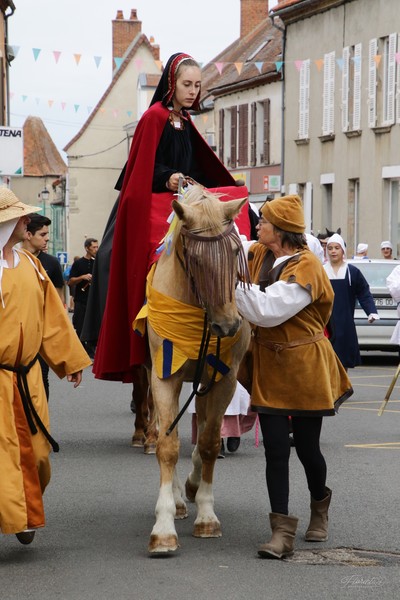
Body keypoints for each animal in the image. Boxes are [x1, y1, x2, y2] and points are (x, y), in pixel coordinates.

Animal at [144, 185, 250, 556]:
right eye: (195, 258)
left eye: (235, 251)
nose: (228, 325)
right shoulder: (165, 376)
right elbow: (167, 444)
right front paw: (163, 527)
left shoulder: (223, 379)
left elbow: (209, 442)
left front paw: (206, 515)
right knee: (167, 430)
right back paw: (177, 500)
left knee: (204, 428)